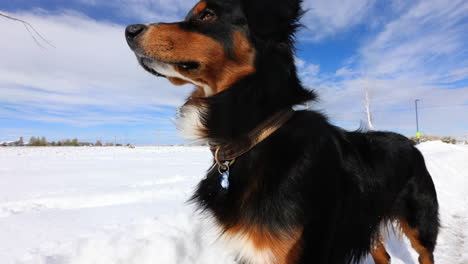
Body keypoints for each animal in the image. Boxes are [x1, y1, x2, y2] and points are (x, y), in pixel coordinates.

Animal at [124, 1, 438, 262]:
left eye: (208, 14)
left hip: (420, 222)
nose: (129, 30)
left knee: (425, 254)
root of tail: (410, 143)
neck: (256, 133)